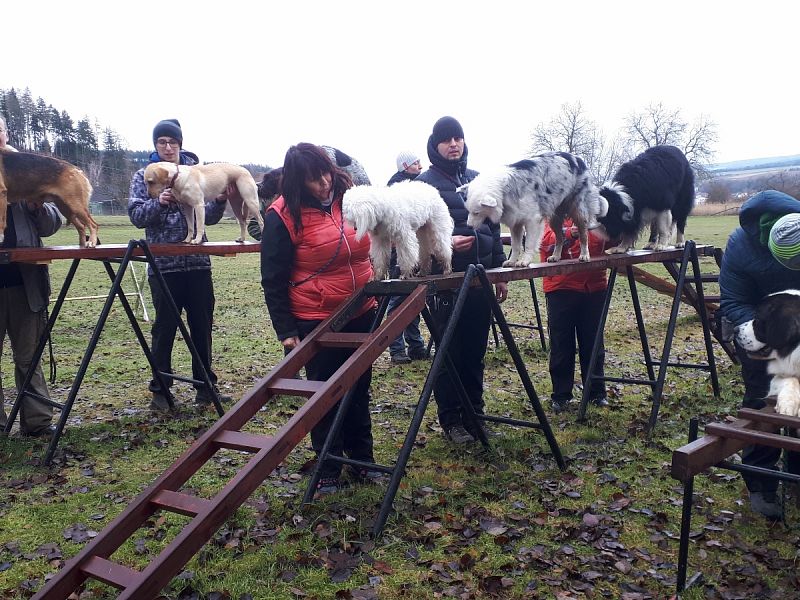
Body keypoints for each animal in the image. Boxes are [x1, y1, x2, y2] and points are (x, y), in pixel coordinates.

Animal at [462, 152, 608, 268]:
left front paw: (524, 261)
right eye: (468, 211)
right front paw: (512, 261)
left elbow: (528, 244)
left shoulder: (532, 221)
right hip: (554, 219)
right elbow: (515, 245)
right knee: (560, 238)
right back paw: (556, 256)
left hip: (578, 211)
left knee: (583, 235)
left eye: (476, 212)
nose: (468, 226)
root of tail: (578, 159)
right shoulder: (515, 223)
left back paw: (584, 255)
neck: (504, 189)